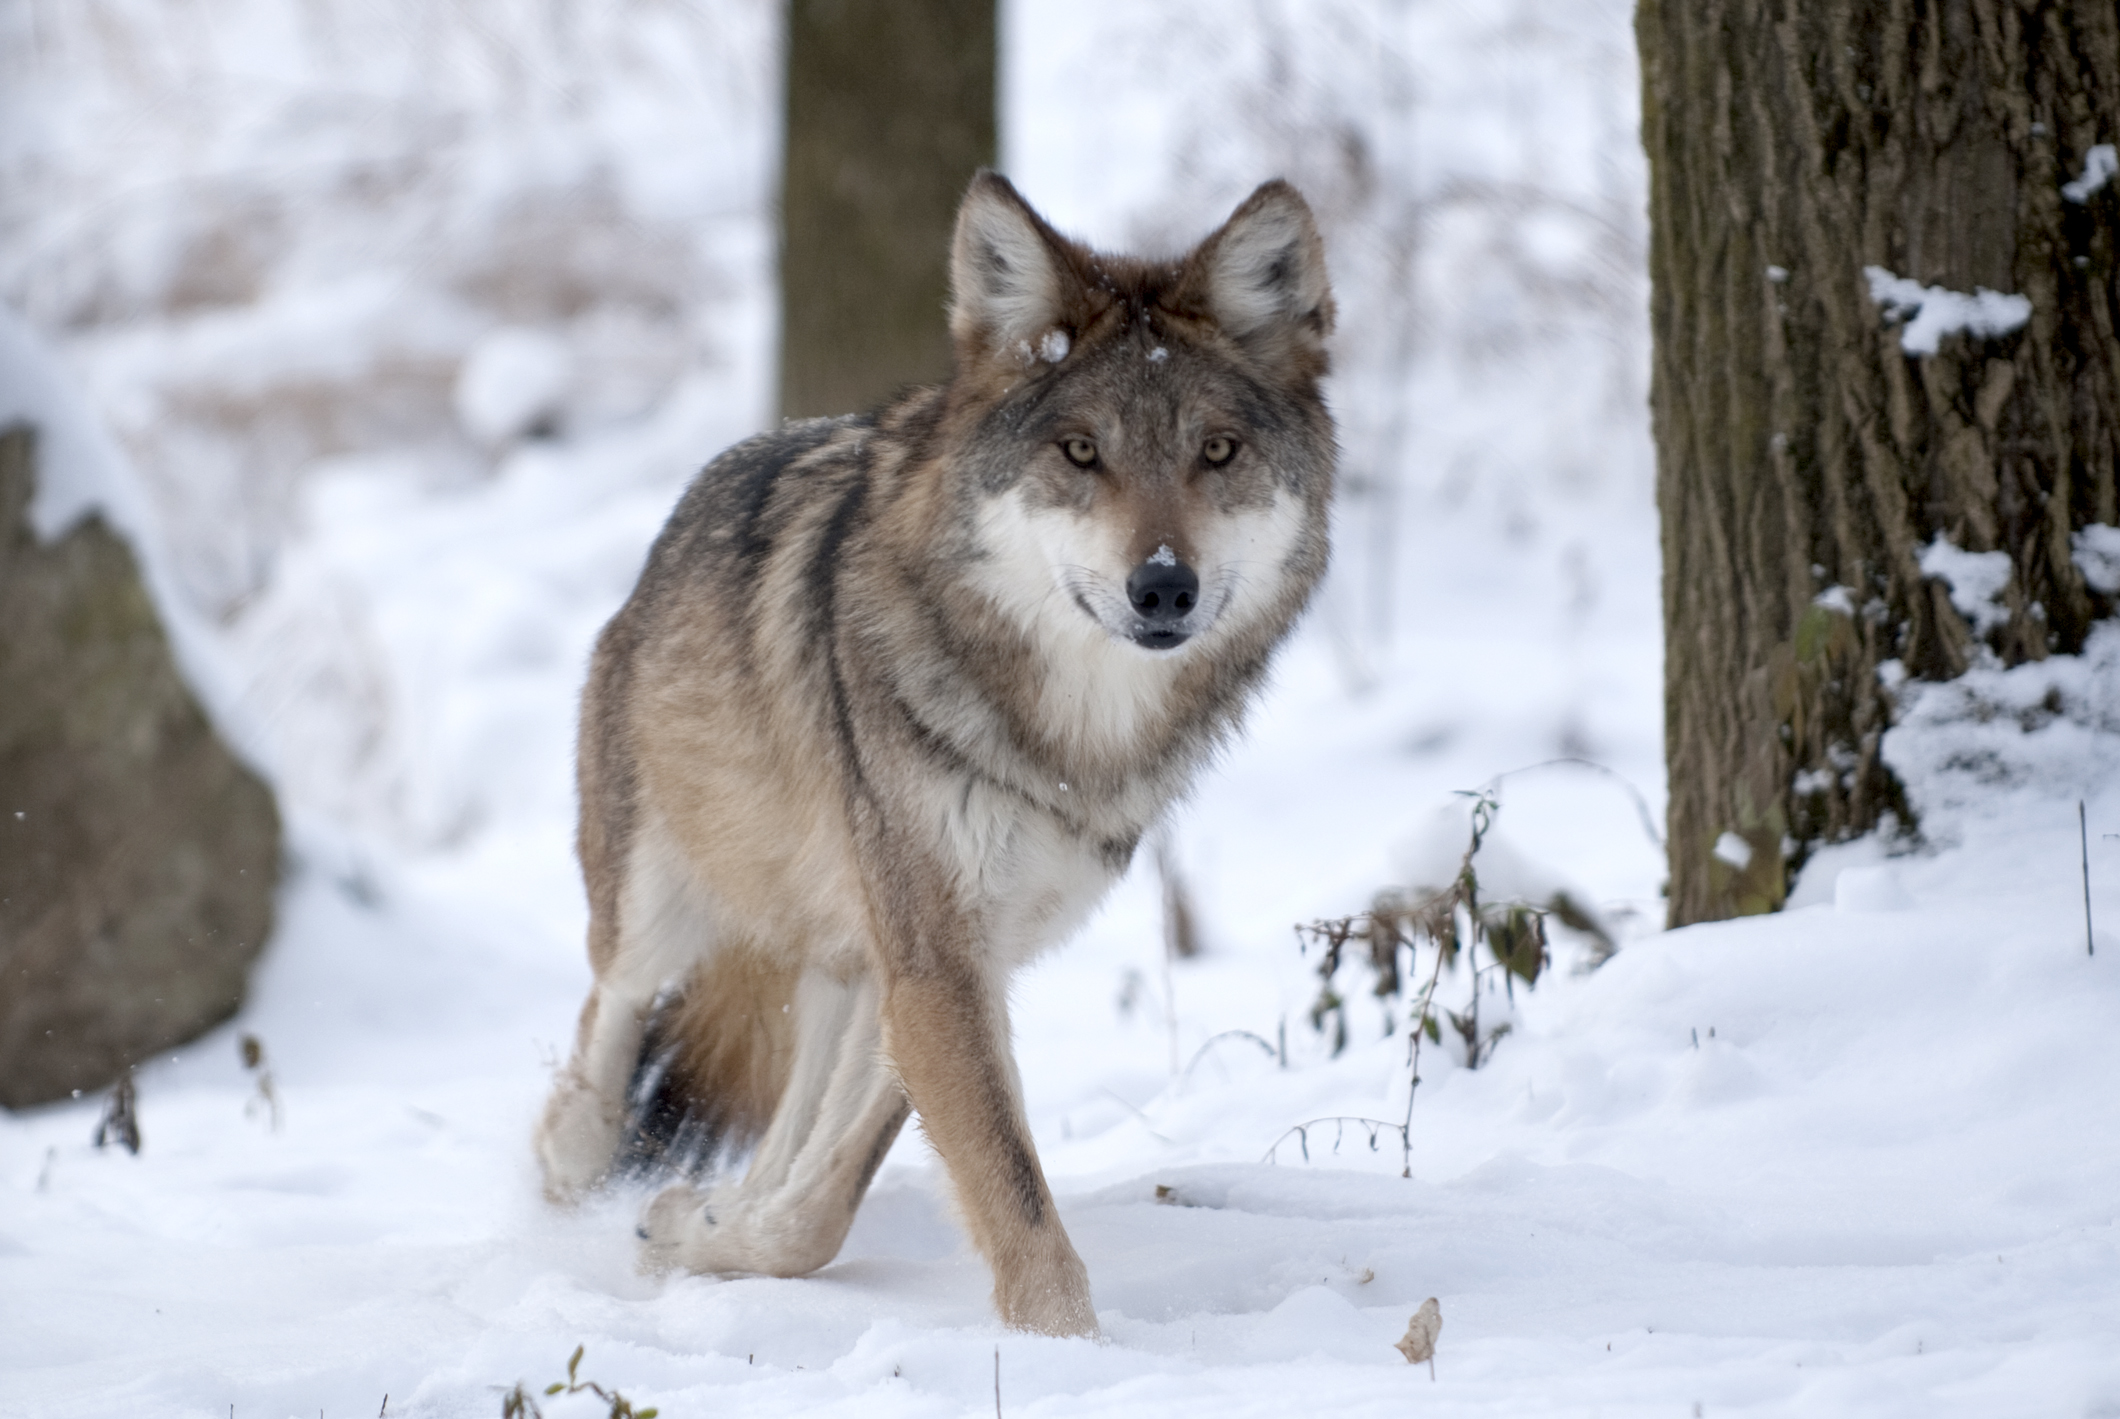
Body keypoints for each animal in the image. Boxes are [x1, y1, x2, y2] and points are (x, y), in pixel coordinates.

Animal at [535, 171, 1336, 1336]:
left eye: (1217, 452)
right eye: (1080, 451)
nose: (1162, 587)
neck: (1069, 739)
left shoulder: (950, 964)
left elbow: (824, 1204)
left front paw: (710, 1230)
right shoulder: (934, 962)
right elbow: (1013, 1200)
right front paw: (1068, 1350)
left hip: (846, 956)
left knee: (785, 1129)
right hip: (662, 898)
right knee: (608, 1013)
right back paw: (568, 1162)